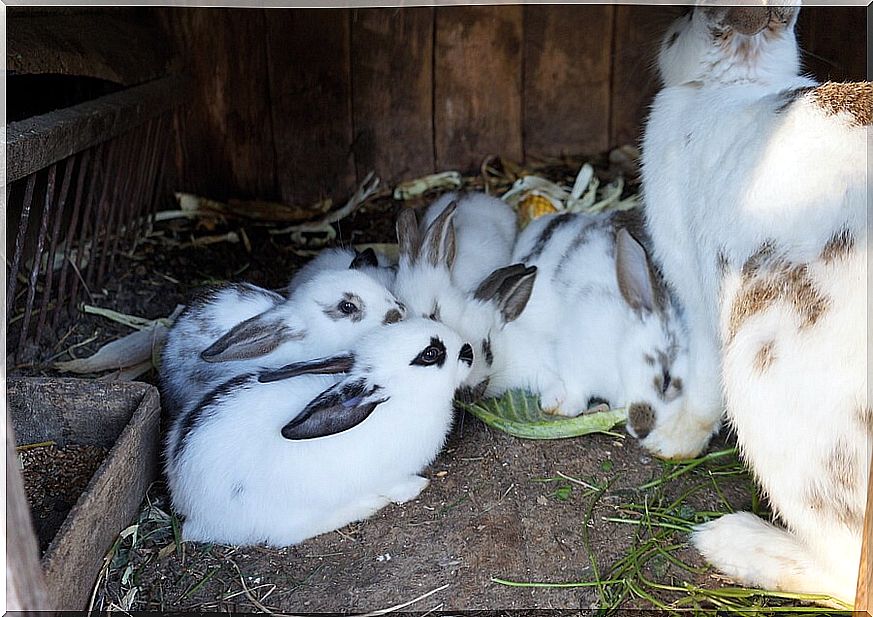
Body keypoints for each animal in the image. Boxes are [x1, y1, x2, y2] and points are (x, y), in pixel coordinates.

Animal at [166, 318, 474, 544]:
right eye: (430, 354)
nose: (469, 351)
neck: (399, 401)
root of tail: (186, 504)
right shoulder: (386, 475)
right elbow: (396, 485)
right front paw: (416, 487)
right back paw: (366, 506)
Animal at [636, 2, 868, 604]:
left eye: (677, 27)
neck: (736, 84)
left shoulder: (696, 295)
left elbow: (701, 382)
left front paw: (668, 442)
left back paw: (730, 542)